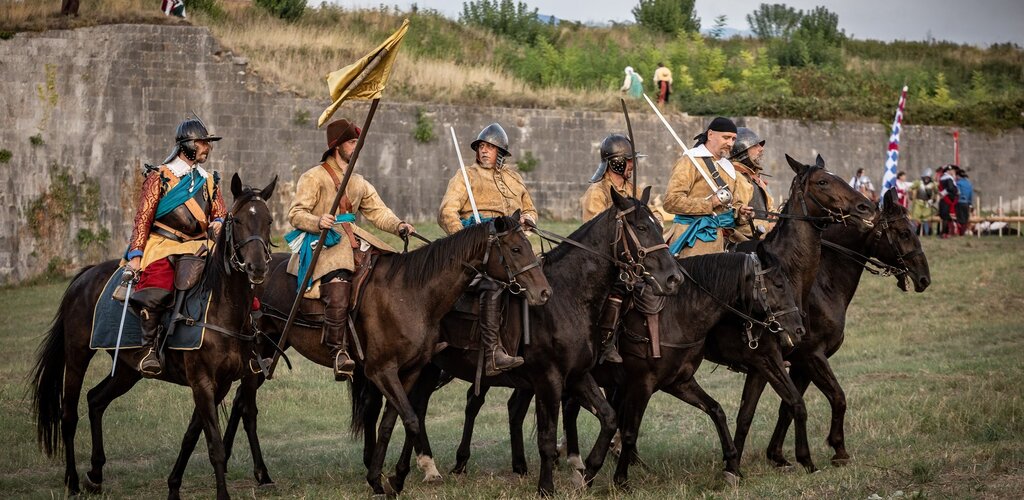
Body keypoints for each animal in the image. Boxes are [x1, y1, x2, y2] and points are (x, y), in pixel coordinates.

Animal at [33, 173, 278, 500]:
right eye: (237, 221)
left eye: (268, 221)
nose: (257, 267)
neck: (222, 307)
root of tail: (85, 276)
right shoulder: (203, 382)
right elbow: (214, 445)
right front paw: (221, 493)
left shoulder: (225, 383)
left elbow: (192, 435)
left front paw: (173, 486)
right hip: (77, 356)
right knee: (68, 414)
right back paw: (72, 481)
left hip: (127, 369)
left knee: (95, 400)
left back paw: (95, 474)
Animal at [218, 212, 552, 495]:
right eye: (515, 248)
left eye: (527, 245)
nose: (544, 292)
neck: (412, 294)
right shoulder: (382, 371)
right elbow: (411, 419)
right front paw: (396, 476)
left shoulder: (409, 371)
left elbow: (391, 423)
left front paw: (381, 479)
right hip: (260, 352)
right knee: (247, 407)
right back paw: (261, 474)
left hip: (266, 354)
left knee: (240, 401)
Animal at [374, 188, 679, 495]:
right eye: (641, 227)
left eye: (659, 225)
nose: (673, 278)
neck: (567, 297)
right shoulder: (548, 380)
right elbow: (547, 437)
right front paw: (546, 487)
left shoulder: (577, 375)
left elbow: (609, 418)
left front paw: (587, 473)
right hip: (423, 367)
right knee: (417, 408)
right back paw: (424, 467)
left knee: (418, 408)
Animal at [741, 186, 933, 469]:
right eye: (904, 233)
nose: (924, 278)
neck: (820, 280)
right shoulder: (812, 356)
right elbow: (838, 397)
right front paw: (838, 449)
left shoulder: (800, 365)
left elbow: (787, 407)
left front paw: (776, 454)